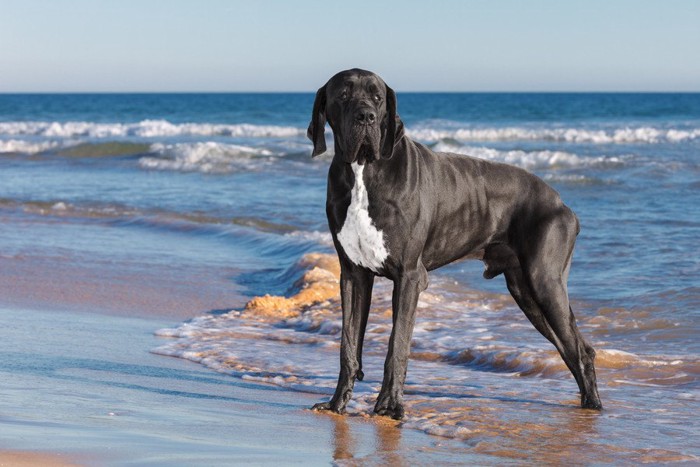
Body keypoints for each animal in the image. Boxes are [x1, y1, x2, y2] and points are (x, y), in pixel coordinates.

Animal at [306, 66, 600, 420]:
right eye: (344, 94)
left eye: (378, 97)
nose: (367, 116)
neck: (363, 171)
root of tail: (562, 203)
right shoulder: (353, 276)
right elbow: (348, 346)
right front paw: (337, 404)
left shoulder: (409, 277)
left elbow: (397, 345)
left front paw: (389, 405)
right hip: (527, 292)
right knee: (568, 347)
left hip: (545, 282)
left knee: (581, 349)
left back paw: (594, 405)